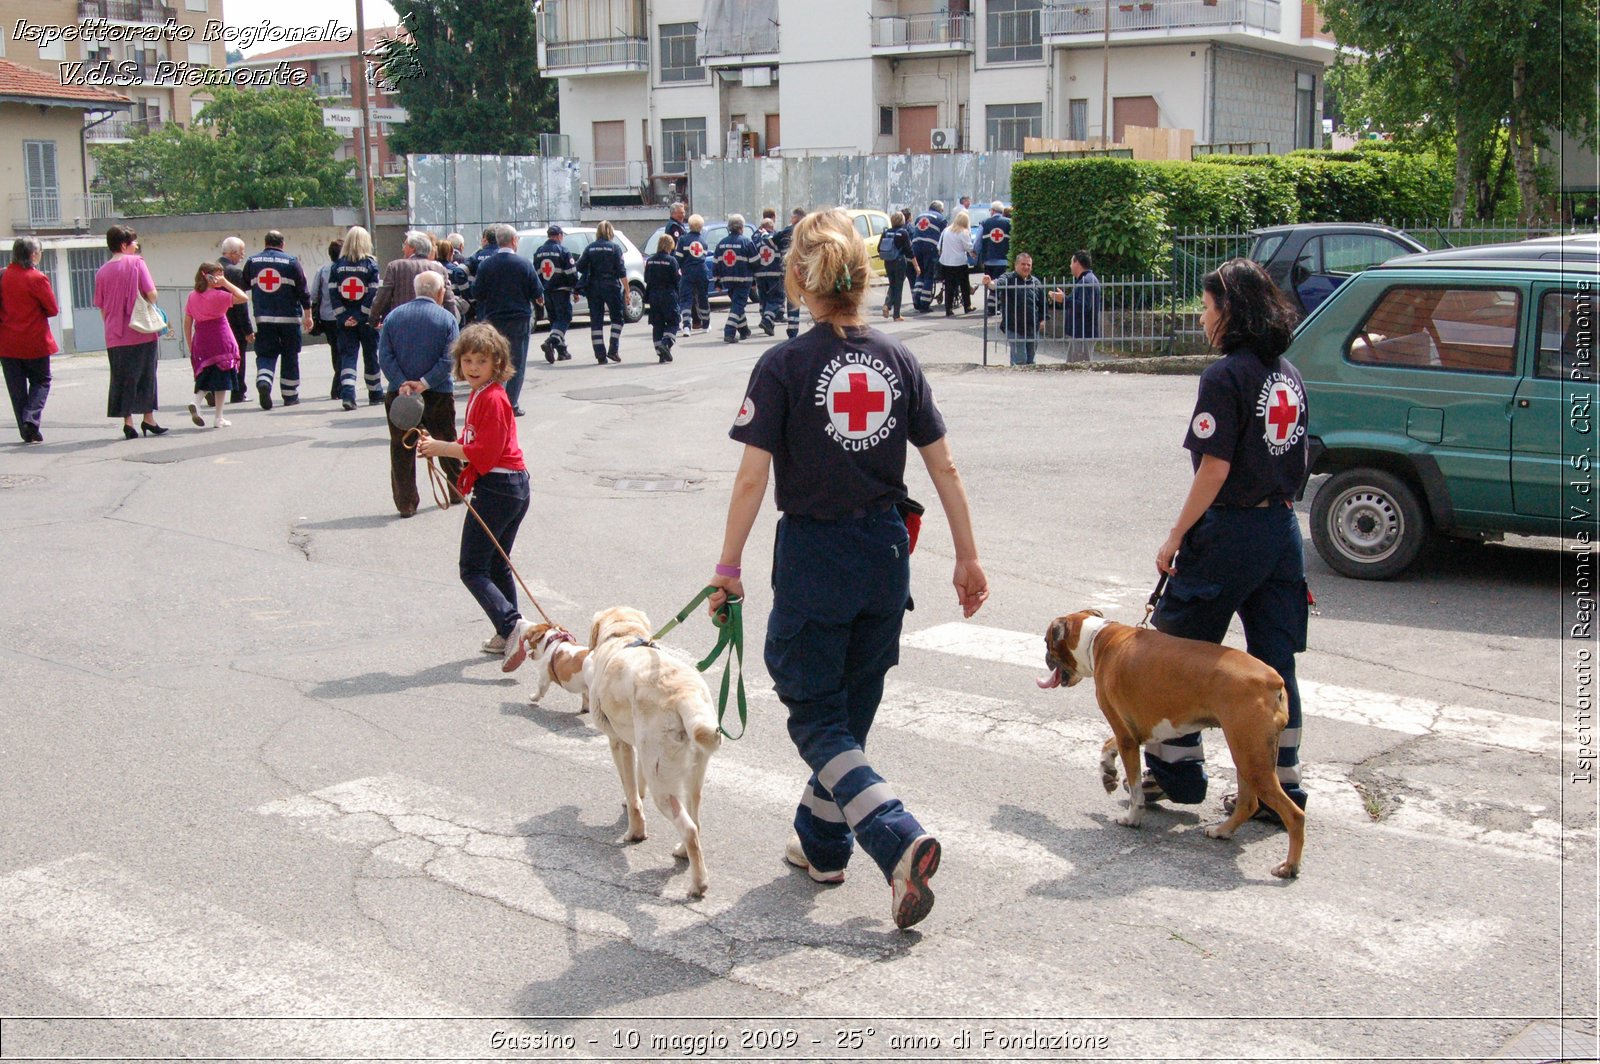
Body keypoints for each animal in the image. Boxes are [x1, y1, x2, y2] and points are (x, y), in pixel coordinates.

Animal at [588, 604, 720, 896]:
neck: (623, 635)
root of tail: (685, 693)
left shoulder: (618, 742)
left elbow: (631, 793)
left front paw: (635, 832)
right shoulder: (639, 746)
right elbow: (638, 783)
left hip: (663, 785)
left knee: (689, 828)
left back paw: (699, 884)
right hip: (693, 776)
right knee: (695, 821)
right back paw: (683, 853)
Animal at [1043, 611, 1305, 876]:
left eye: (1046, 642)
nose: (1045, 658)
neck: (1097, 638)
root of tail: (1273, 680)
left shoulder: (1126, 736)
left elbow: (1135, 788)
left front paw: (1132, 818)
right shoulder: (1133, 731)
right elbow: (1108, 744)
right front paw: (1108, 771)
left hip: (1252, 761)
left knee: (1294, 815)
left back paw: (1289, 866)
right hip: (1247, 754)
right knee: (1248, 803)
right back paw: (1222, 831)